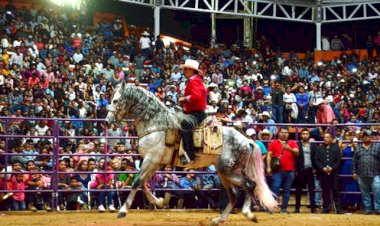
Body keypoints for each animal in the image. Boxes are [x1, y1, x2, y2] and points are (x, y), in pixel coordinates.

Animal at [104, 81, 276, 226]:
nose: (106, 121)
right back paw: (218, 219)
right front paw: (160, 201)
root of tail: (247, 141)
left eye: (115, 101)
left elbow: (137, 182)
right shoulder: (154, 162)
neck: (156, 124)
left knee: (249, 185)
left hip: (229, 171)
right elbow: (143, 184)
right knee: (234, 194)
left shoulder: (150, 160)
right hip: (224, 172)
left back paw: (248, 214)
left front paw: (123, 210)